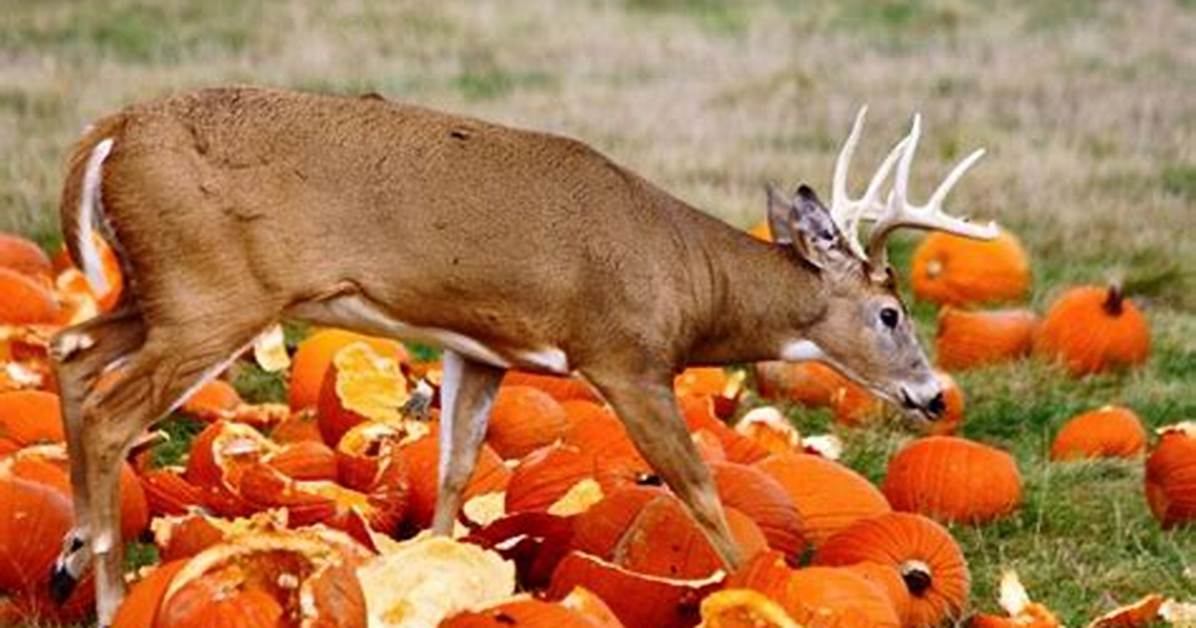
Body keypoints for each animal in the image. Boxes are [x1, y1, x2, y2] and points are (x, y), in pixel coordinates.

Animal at [46, 87, 997, 625]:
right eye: (889, 312)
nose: (933, 395)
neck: (685, 279)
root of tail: (111, 130)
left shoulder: (483, 350)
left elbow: (454, 472)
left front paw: (434, 579)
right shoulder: (623, 354)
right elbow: (698, 487)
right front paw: (753, 582)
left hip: (158, 293)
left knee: (69, 349)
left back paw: (66, 563)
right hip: (211, 294)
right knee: (110, 408)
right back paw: (106, 595)